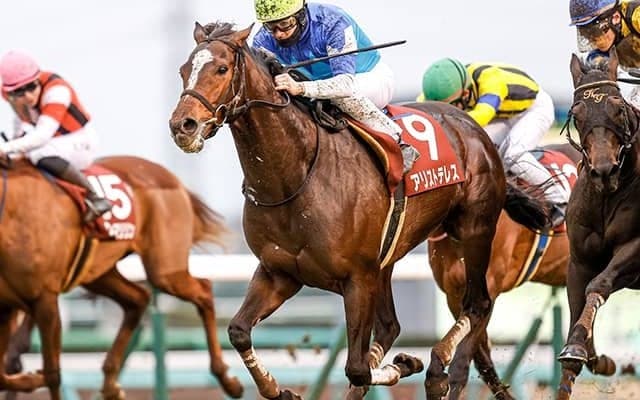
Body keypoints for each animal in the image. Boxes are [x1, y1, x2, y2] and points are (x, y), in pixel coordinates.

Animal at [0, 156, 243, 400]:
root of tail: (169, 176)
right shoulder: (8, 306)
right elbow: (6, 373)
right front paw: (29, 377)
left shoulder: (45, 299)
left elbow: (52, 373)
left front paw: (34, 375)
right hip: (98, 273)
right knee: (138, 299)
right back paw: (110, 384)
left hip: (164, 269)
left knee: (203, 290)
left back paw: (227, 380)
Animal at [169, 22, 549, 400]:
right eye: (183, 70)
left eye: (221, 68)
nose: (182, 125)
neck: (295, 177)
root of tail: (472, 127)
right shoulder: (279, 273)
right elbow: (238, 331)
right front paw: (279, 390)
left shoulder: (358, 278)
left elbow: (357, 369)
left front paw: (409, 365)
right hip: (392, 257)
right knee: (392, 326)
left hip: (474, 230)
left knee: (478, 305)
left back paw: (442, 372)